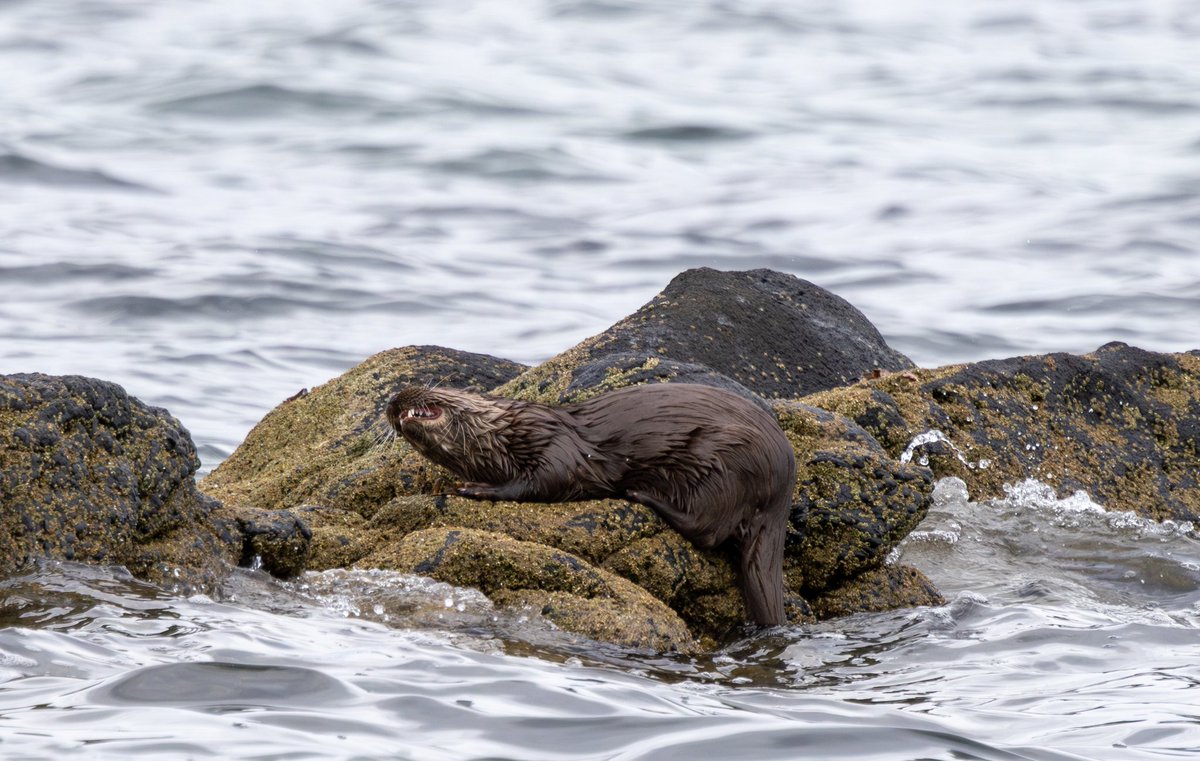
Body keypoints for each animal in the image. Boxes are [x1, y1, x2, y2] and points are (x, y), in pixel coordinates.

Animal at [386, 383, 797, 626]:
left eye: (430, 385)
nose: (392, 400)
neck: (508, 436)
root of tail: (782, 486)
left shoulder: (558, 448)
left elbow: (544, 481)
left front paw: (475, 488)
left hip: (722, 464)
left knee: (707, 529)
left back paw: (641, 495)